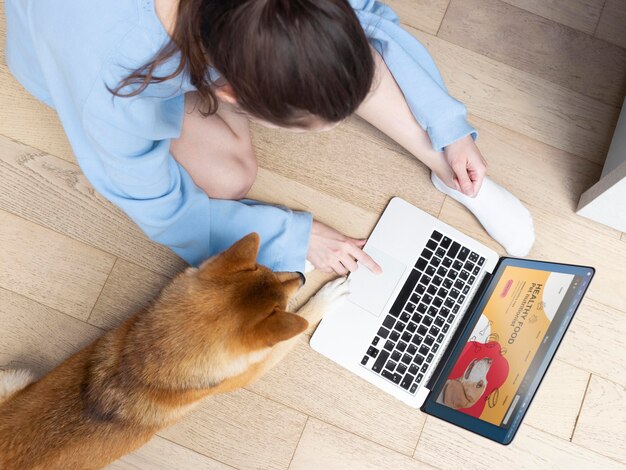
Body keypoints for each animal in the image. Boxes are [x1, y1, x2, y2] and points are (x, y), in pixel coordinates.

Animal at [0, 233, 346, 468]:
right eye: (282, 307)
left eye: (268, 269)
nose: (300, 276)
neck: (146, 360)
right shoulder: (255, 367)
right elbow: (302, 322)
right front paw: (325, 290)